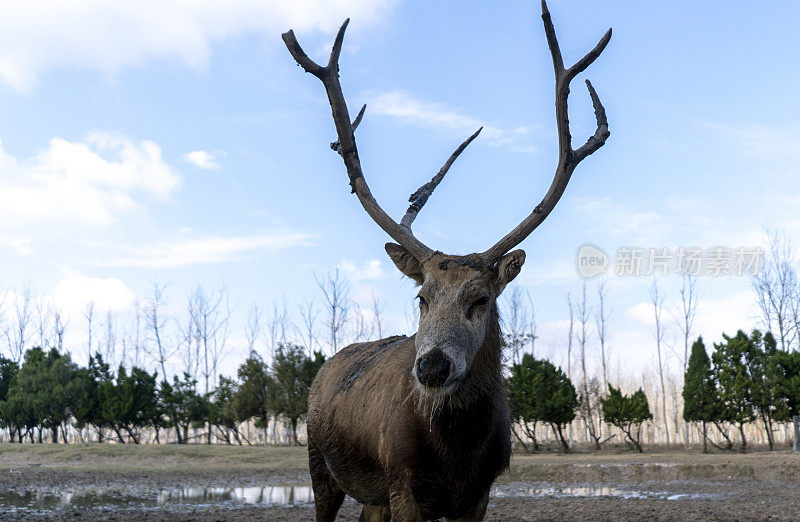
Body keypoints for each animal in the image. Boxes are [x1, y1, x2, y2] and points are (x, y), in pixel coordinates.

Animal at [282, 2, 612, 516]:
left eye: (481, 300)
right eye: (421, 298)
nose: (432, 367)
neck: (456, 456)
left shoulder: (480, 491)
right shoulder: (402, 482)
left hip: (372, 495)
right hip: (321, 465)